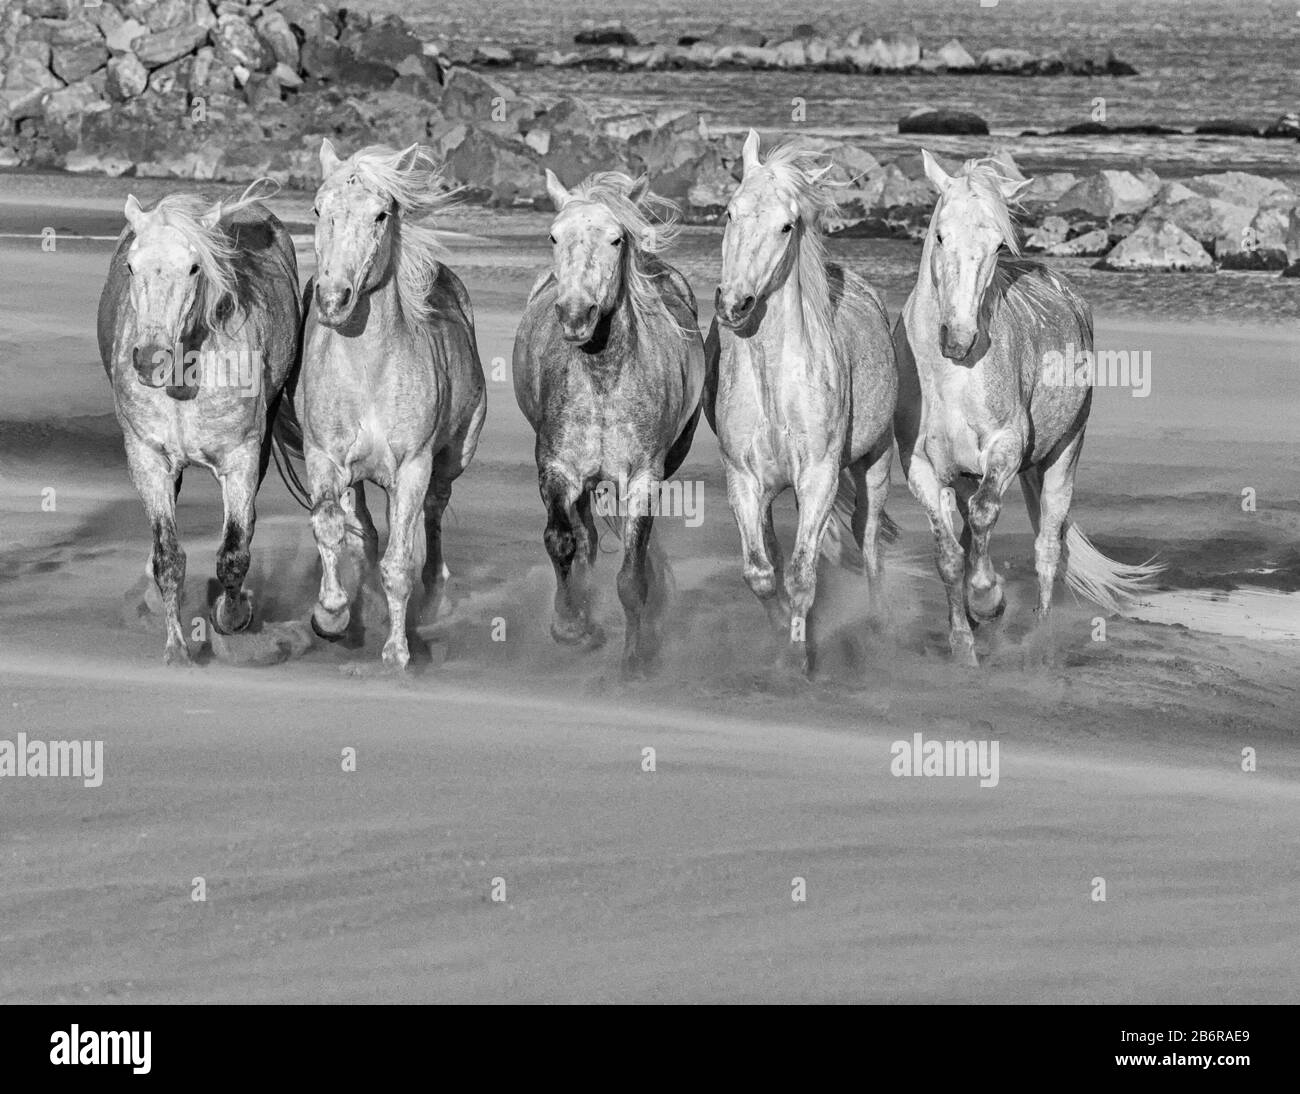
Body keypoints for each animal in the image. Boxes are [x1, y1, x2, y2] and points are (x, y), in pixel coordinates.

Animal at [97, 183, 301, 664]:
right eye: (130, 265)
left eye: (193, 267)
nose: (150, 359)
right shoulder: (148, 458)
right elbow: (168, 556)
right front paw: (176, 648)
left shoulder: (241, 458)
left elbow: (234, 551)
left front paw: (232, 618)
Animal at [297, 140, 486, 671]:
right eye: (318, 209)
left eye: (381, 214)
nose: (333, 299)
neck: (369, 373)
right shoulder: (324, 458)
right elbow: (330, 527)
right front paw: (332, 615)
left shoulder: (412, 468)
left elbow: (399, 563)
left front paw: (397, 651)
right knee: (362, 527)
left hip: (451, 459)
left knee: (435, 512)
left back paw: (435, 591)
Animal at [513, 170, 706, 675]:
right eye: (553, 235)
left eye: (617, 239)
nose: (575, 314)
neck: (603, 380)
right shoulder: (557, 469)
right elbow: (562, 541)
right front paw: (571, 627)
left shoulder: (643, 478)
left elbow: (632, 576)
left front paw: (637, 658)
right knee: (586, 536)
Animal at [705, 130, 898, 674]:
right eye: (730, 212)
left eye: (787, 225)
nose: (734, 304)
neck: (776, 385)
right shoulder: (744, 480)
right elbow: (761, 572)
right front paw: (780, 638)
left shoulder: (818, 477)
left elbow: (801, 575)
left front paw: (798, 662)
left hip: (875, 463)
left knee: (867, 539)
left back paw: (879, 626)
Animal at [894, 151, 1161, 665]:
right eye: (940, 235)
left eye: (999, 246)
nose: (959, 339)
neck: (949, 376)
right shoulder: (921, 465)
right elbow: (949, 554)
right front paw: (963, 644)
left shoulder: (1005, 447)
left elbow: (984, 517)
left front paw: (988, 599)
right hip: (970, 474)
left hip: (1061, 459)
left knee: (1047, 549)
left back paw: (1040, 638)